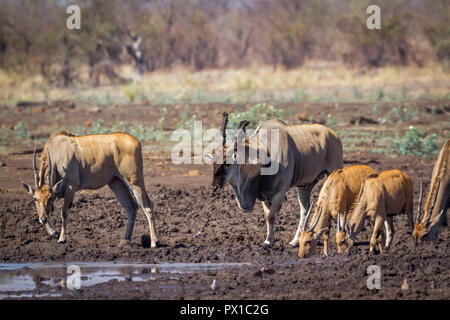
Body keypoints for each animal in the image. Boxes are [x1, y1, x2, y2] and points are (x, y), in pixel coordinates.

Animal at [21, 131, 158, 246]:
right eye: (35, 199)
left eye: (50, 199)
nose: (42, 219)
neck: (56, 154)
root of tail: (136, 141)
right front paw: (53, 232)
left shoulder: (71, 188)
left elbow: (64, 213)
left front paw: (61, 238)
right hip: (116, 183)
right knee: (131, 207)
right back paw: (125, 240)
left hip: (134, 182)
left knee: (147, 205)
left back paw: (154, 242)